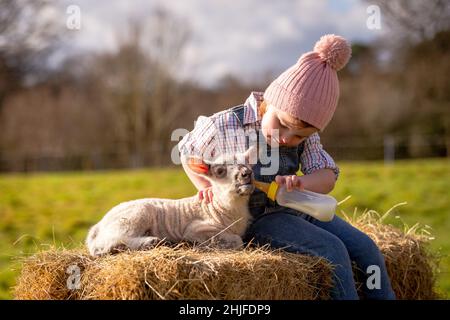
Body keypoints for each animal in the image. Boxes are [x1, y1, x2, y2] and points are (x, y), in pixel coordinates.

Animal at [85, 148, 255, 258]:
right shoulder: (197, 229)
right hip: (134, 217)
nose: (247, 173)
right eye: (220, 171)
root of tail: (98, 226)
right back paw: (152, 242)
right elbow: (238, 241)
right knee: (106, 244)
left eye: (248, 163)